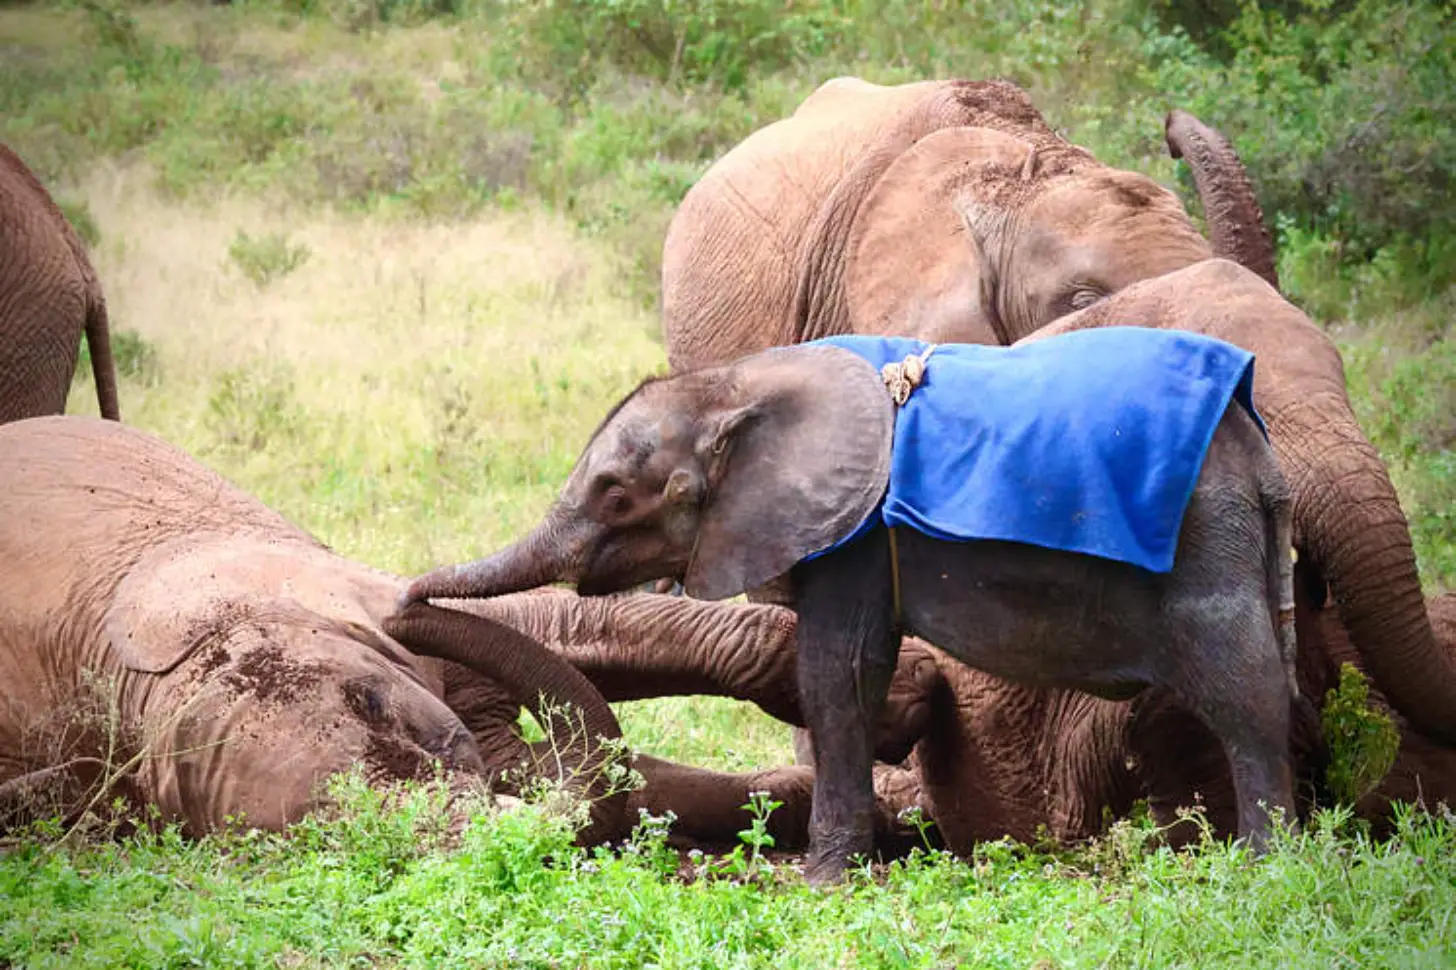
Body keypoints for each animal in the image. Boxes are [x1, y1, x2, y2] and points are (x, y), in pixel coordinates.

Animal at [401, 326, 1305, 884]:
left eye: (618, 495)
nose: (408, 601)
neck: (739, 381)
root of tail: (1263, 461)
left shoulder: (850, 534)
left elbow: (838, 673)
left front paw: (819, 882)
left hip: (1206, 542)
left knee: (1245, 694)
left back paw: (1268, 867)